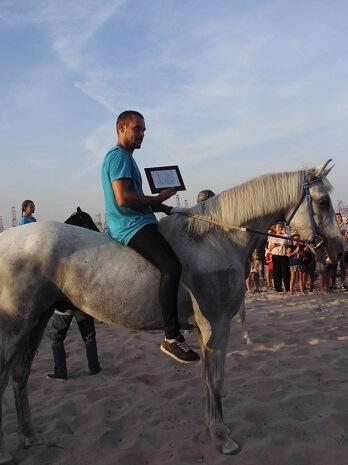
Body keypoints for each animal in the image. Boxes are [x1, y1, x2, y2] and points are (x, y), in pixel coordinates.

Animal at [0, 160, 342, 460]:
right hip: (16, 327)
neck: (215, 240)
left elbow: (208, 381)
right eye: (323, 202)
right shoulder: (217, 325)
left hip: (37, 321)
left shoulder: (208, 330)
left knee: (20, 374)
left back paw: (29, 435)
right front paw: (223, 438)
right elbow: (216, 380)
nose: (338, 251)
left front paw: (214, 430)